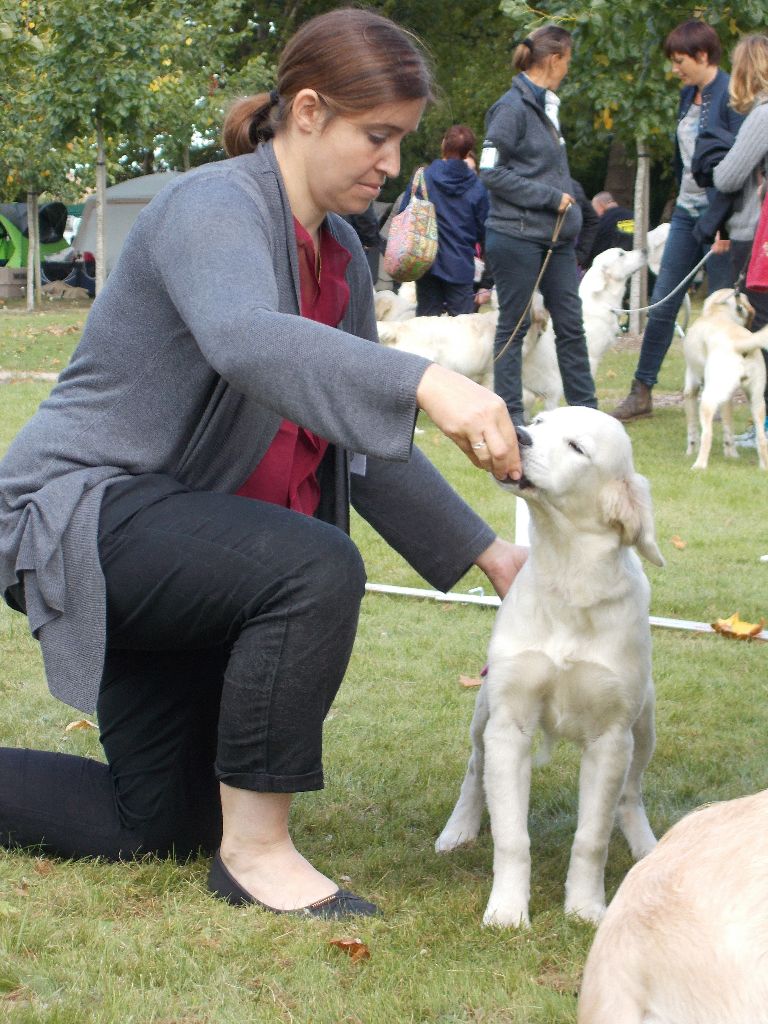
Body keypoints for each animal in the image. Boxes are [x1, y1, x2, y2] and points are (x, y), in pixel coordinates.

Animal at [684, 288, 768, 471]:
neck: (718, 313)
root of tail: (740, 344)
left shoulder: (691, 388)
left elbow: (692, 431)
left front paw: (689, 452)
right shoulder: (728, 399)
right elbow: (728, 429)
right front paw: (732, 455)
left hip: (707, 400)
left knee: (707, 435)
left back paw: (699, 465)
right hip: (757, 401)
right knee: (762, 438)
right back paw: (763, 467)